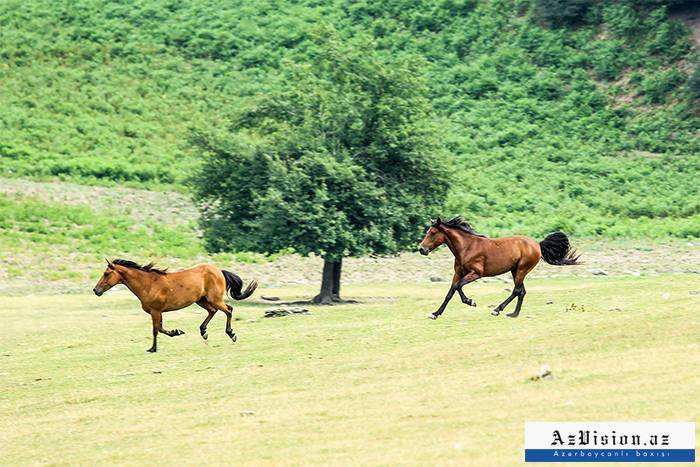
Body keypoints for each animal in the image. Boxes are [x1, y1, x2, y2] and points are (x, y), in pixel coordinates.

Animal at [92, 258, 258, 352]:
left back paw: (231, 334)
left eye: (106, 273)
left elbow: (156, 329)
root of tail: (219, 271)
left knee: (228, 310)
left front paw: (154, 348)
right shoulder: (157, 312)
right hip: (202, 300)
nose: (96, 290)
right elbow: (159, 328)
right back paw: (203, 332)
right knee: (212, 311)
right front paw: (176, 332)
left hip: (214, 299)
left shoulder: (156, 311)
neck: (148, 284)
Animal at [422, 218, 580, 320]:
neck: (467, 248)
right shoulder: (458, 273)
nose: (421, 249)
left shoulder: (475, 274)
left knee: (516, 290)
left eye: (433, 232)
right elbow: (450, 292)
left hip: (522, 269)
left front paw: (471, 302)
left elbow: (458, 286)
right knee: (522, 291)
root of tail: (537, 245)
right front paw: (435, 313)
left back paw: (497, 310)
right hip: (515, 271)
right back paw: (513, 314)